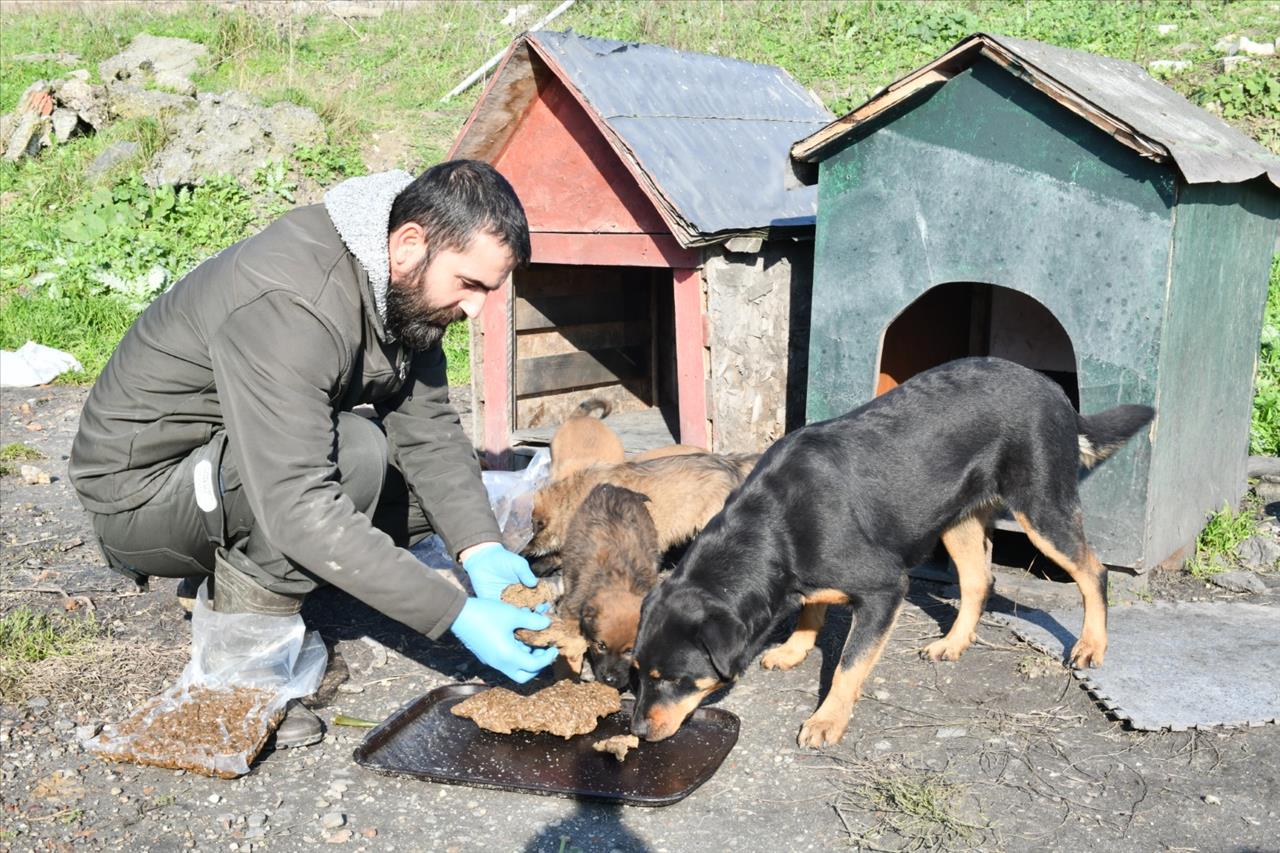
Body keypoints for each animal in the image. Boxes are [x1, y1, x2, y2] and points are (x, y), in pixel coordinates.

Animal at [624, 356, 1157, 747]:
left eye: (674, 678)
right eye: (637, 672)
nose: (637, 731)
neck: (770, 528)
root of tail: (1055, 390)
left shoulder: (885, 588)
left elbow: (847, 666)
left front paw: (827, 720)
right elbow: (811, 609)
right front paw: (795, 649)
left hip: (1041, 509)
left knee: (1093, 570)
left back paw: (1091, 645)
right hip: (956, 519)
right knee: (978, 580)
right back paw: (952, 643)